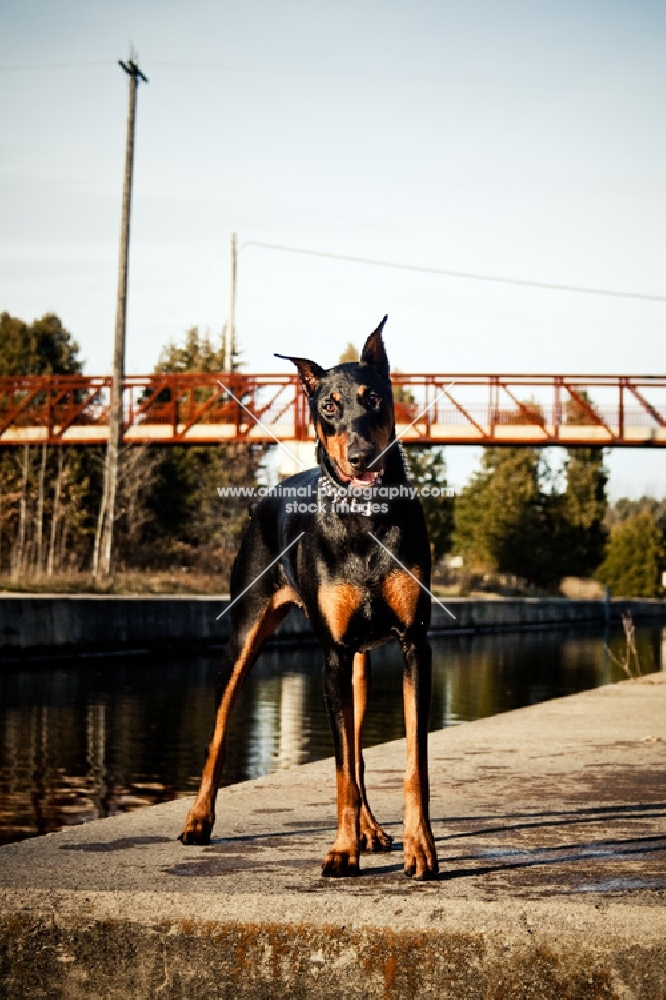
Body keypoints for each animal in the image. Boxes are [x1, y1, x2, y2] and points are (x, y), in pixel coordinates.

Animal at [179, 316, 438, 880]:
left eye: (374, 398)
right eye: (328, 407)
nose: (361, 457)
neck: (364, 519)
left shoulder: (413, 644)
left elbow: (412, 762)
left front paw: (419, 848)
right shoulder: (332, 656)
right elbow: (339, 767)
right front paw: (342, 850)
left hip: (359, 667)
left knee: (359, 752)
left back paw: (370, 830)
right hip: (245, 637)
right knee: (219, 733)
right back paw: (198, 820)